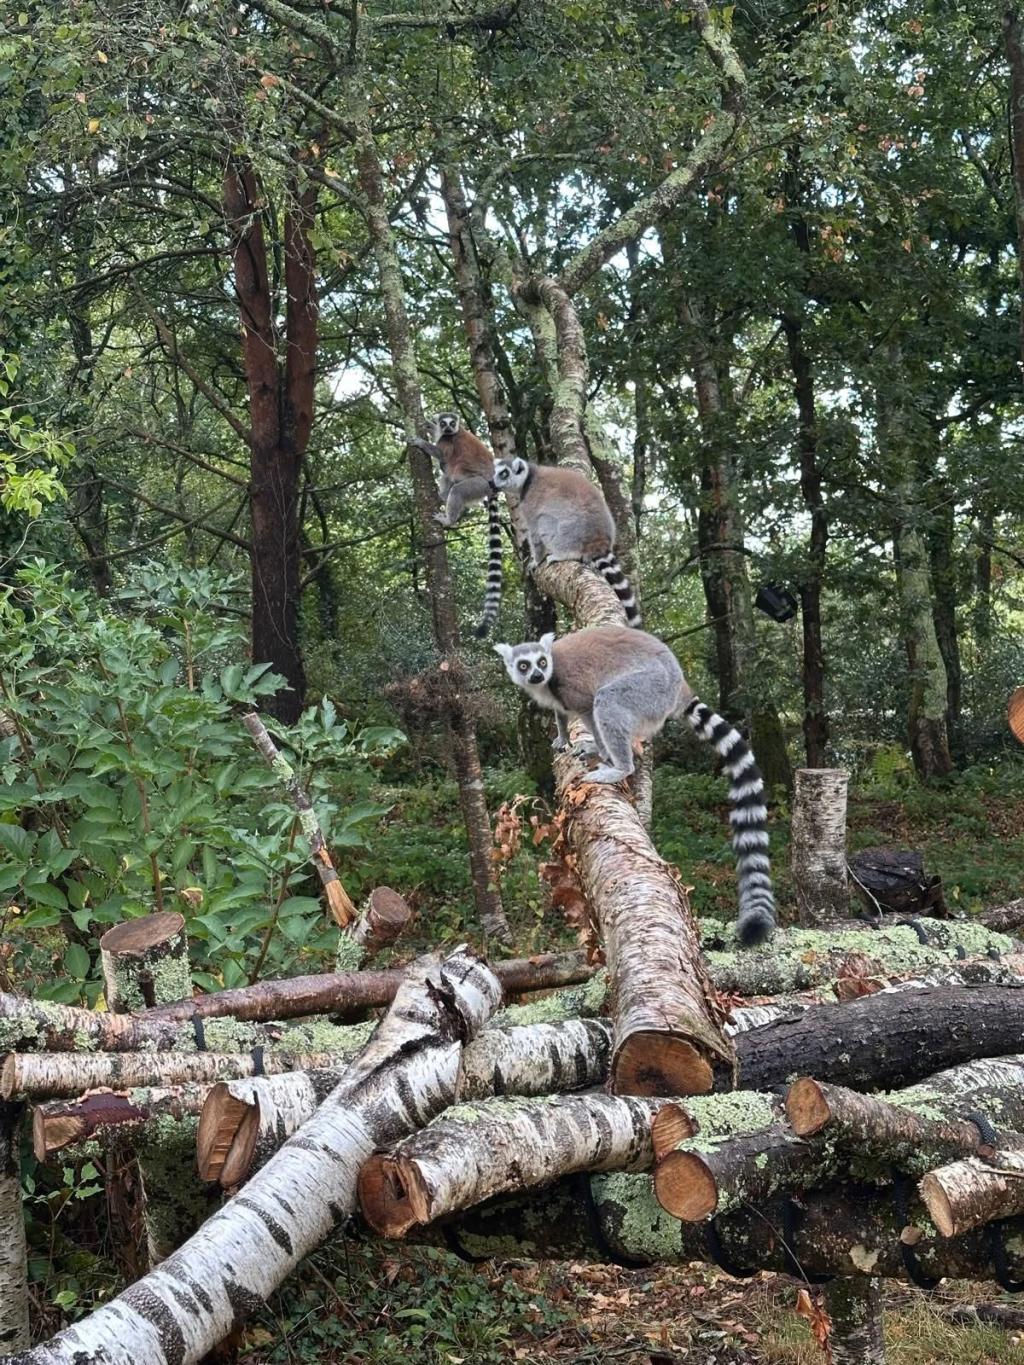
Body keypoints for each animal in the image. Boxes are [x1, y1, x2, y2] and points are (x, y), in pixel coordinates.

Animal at [489, 457, 641, 627]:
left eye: (504, 473)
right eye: (495, 472)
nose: (491, 482)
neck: (528, 479)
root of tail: (598, 540)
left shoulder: (530, 503)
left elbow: (535, 533)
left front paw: (536, 561)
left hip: (570, 534)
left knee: (545, 522)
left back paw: (560, 554)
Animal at [493, 626, 776, 946]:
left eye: (541, 662)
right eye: (523, 665)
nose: (537, 675)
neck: (547, 683)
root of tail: (680, 685)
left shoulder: (571, 688)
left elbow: (588, 710)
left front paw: (598, 751)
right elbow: (561, 715)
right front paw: (563, 738)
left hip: (650, 689)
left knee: (607, 701)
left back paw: (618, 767)